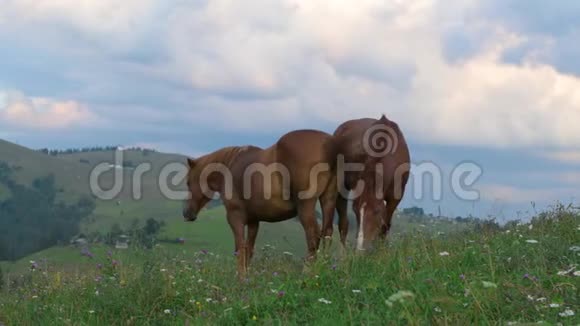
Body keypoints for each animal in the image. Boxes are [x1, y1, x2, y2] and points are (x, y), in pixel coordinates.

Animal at [184, 130, 338, 276]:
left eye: (188, 182)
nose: (186, 213)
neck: (229, 167)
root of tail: (329, 144)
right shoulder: (253, 221)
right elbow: (249, 250)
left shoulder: (235, 217)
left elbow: (240, 248)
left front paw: (240, 278)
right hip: (328, 200)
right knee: (327, 233)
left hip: (306, 206)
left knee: (313, 236)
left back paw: (307, 273)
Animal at [322, 116, 412, 251]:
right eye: (354, 210)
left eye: (376, 211)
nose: (360, 249)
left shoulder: (395, 198)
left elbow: (384, 227)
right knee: (342, 224)